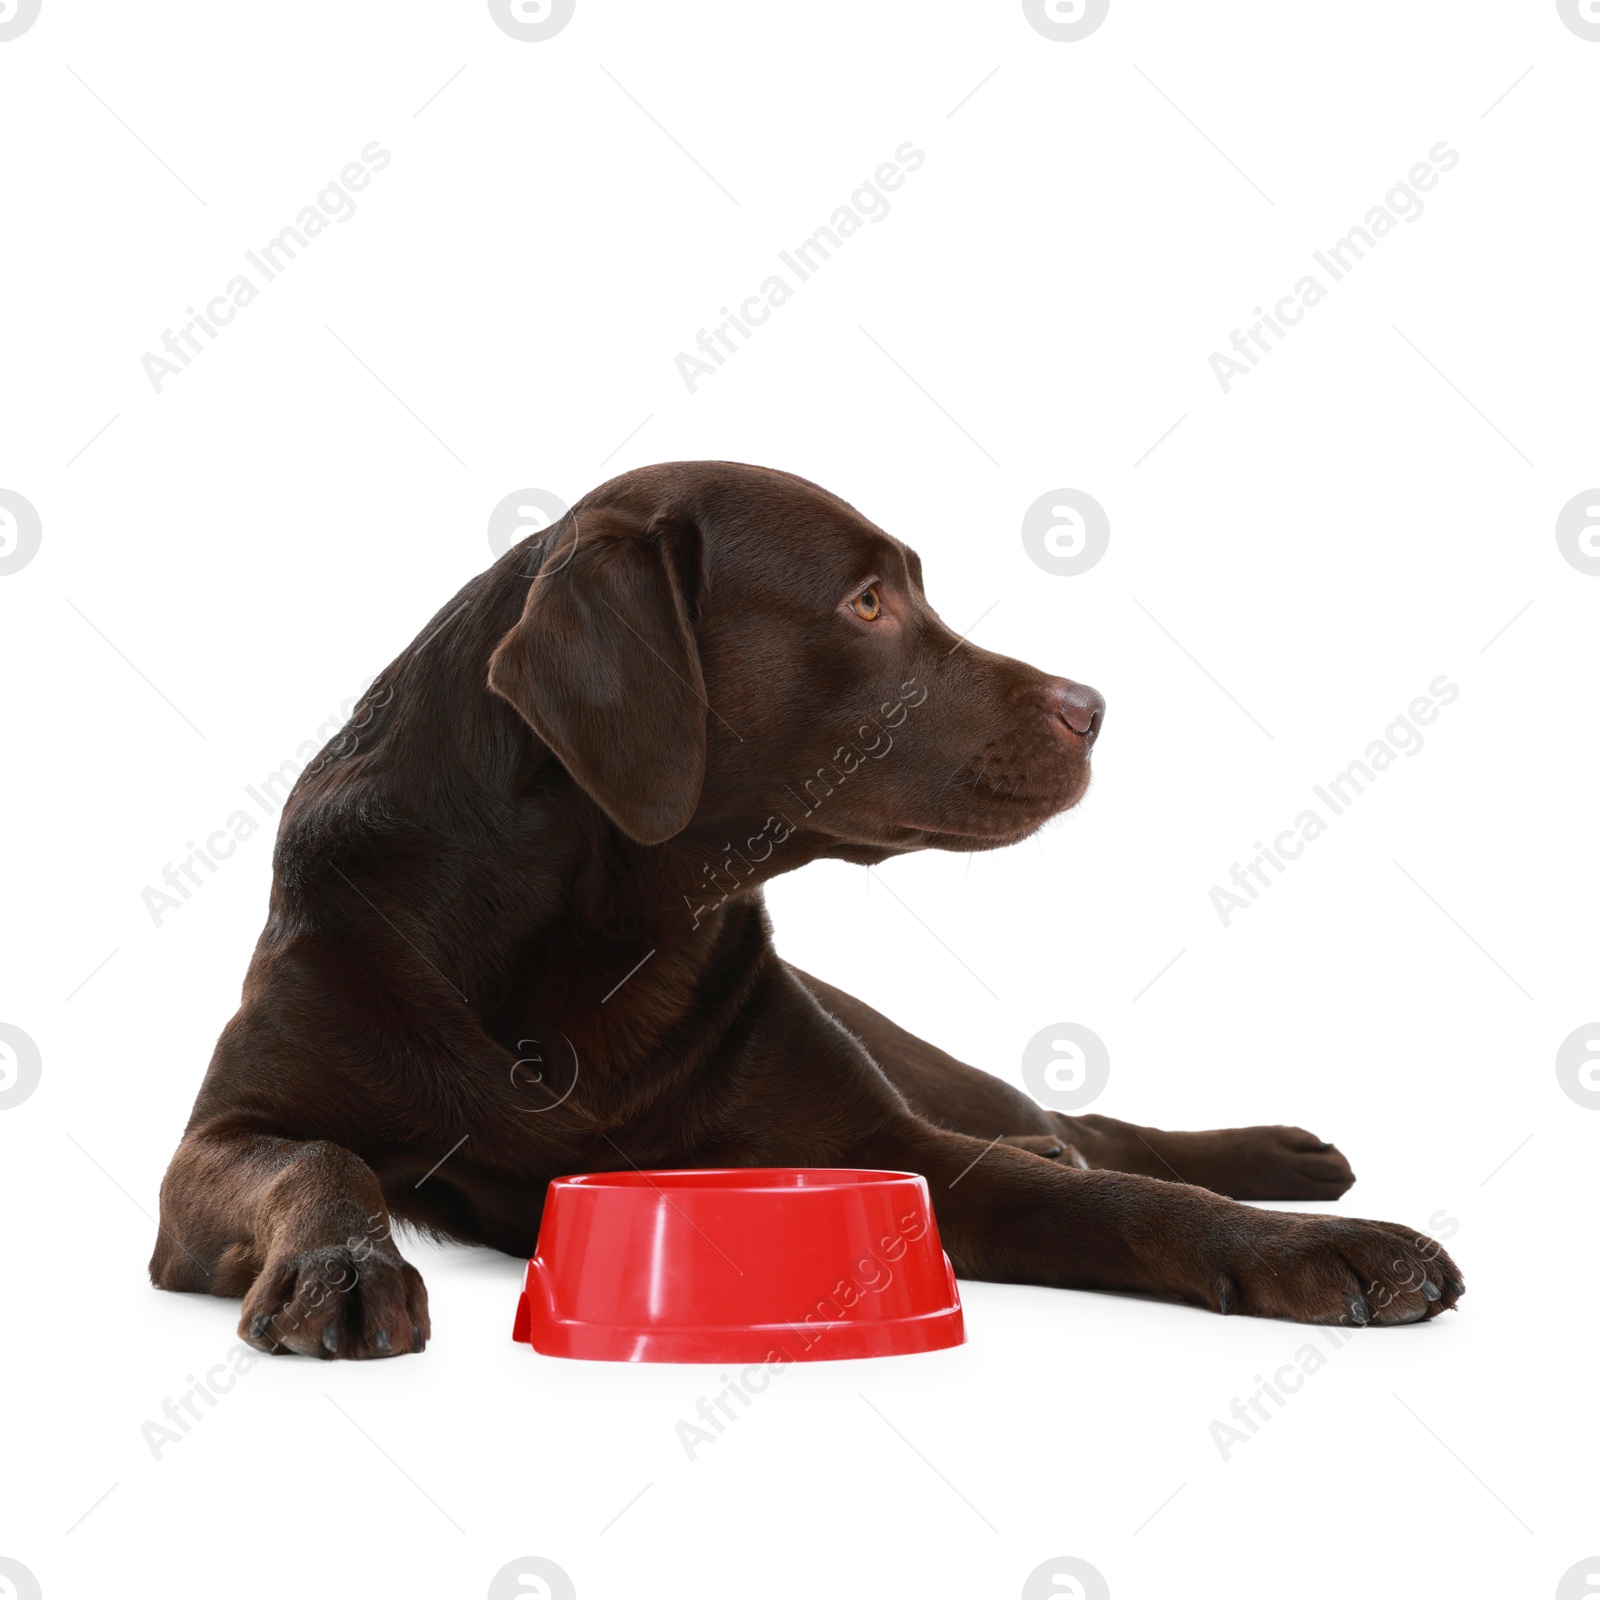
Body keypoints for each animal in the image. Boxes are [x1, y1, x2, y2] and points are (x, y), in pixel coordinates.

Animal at [150, 457, 1465, 1356]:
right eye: (866, 603)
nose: (1093, 708)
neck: (610, 931)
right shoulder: (223, 1138)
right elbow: (316, 1159)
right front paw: (338, 1265)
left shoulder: (890, 1144)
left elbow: (1121, 1195)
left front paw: (1313, 1245)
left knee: (1078, 1128)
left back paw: (1280, 1155)